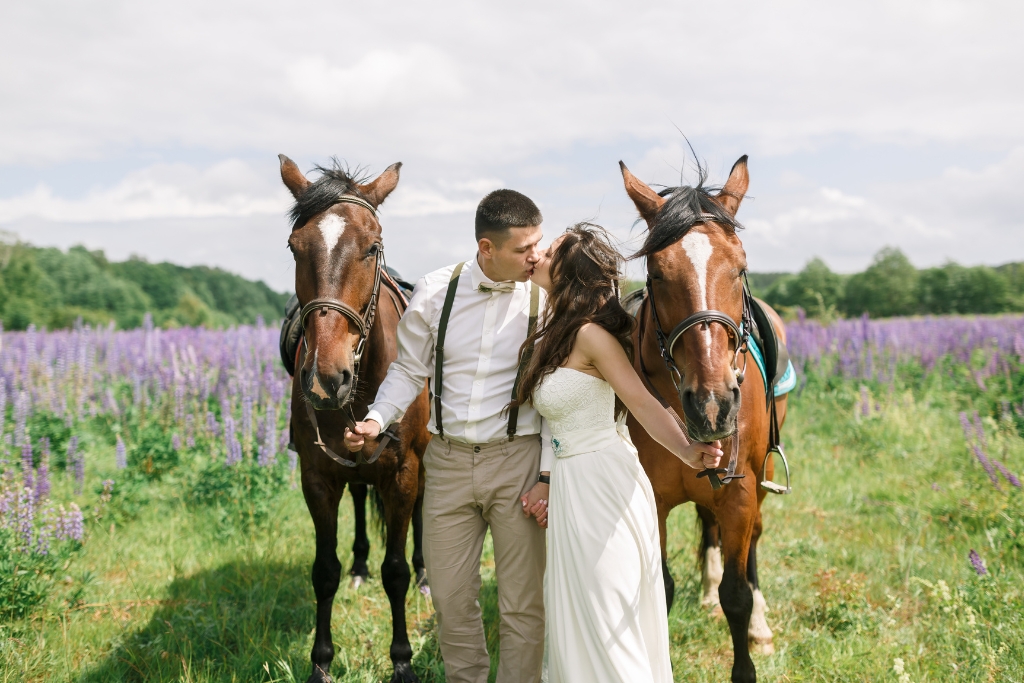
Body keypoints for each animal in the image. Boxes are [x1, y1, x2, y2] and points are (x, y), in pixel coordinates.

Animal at [278, 156, 430, 683]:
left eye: (372, 246)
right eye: (295, 246)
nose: (327, 377)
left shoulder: (403, 472)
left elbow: (396, 572)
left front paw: (402, 661)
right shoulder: (318, 477)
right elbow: (324, 572)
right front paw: (321, 662)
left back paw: (426, 573)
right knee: (362, 501)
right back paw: (361, 567)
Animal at [618, 156, 786, 683]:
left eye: (741, 267)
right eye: (655, 274)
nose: (712, 405)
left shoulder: (739, 491)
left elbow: (738, 594)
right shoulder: (652, 499)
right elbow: (662, 589)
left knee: (753, 545)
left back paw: (760, 626)